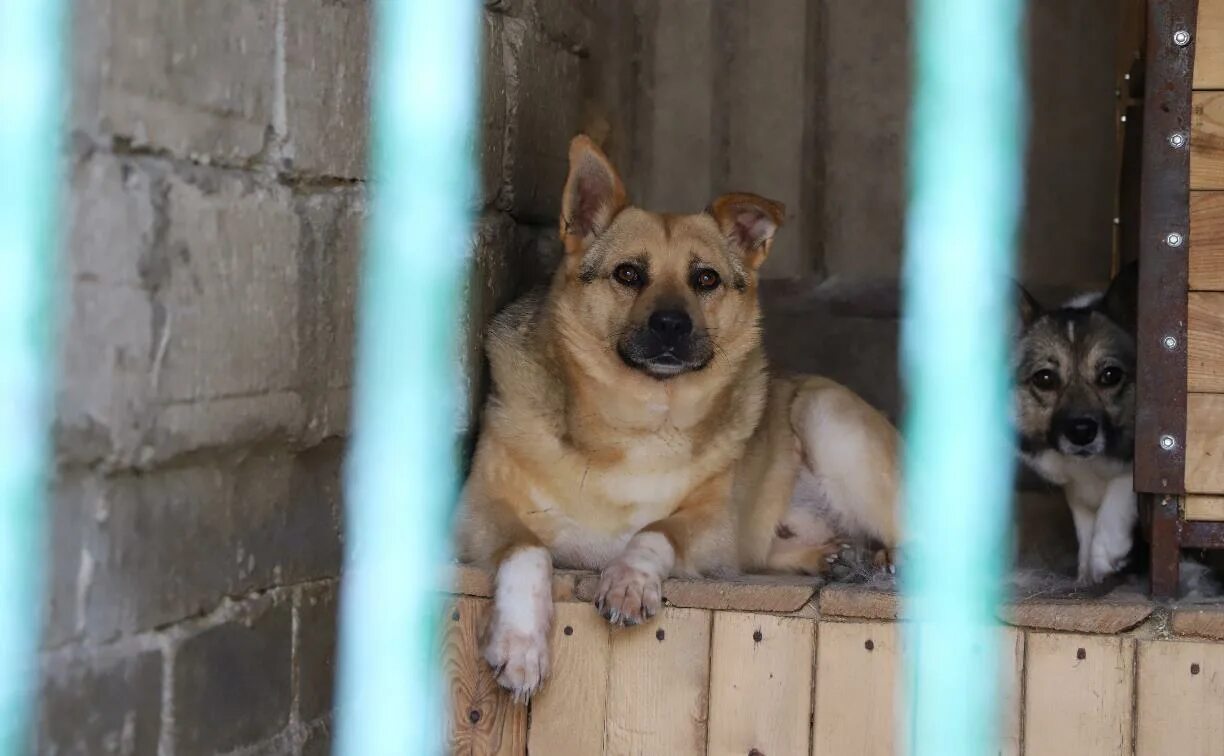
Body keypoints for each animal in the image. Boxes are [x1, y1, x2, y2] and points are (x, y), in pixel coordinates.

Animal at [457, 135, 900, 694]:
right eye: (628, 273)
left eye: (705, 278)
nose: (671, 324)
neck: (639, 418)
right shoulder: (477, 509)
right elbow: (526, 550)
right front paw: (520, 644)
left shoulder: (714, 527)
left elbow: (656, 531)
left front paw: (630, 579)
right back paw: (840, 559)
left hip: (826, 414)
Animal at [1013, 261, 1135, 584]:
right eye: (1044, 379)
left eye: (1110, 375)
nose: (1081, 432)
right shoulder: (1076, 492)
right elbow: (1085, 528)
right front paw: (1085, 575)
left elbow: (1122, 486)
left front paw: (1106, 552)